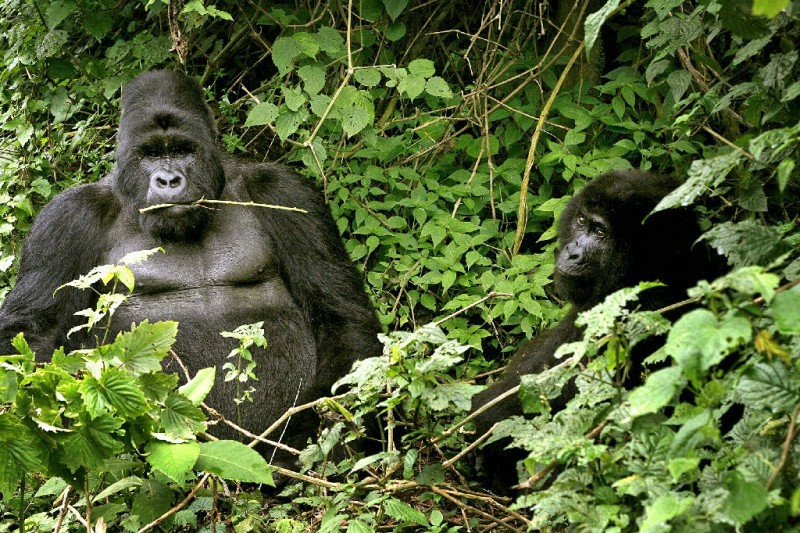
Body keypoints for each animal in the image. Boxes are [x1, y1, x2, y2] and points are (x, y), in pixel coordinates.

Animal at [0, 69, 384, 466]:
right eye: (152, 154)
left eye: (183, 151)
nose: (168, 181)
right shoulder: (66, 219)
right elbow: (32, 334)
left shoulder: (287, 194)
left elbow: (339, 316)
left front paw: (326, 427)